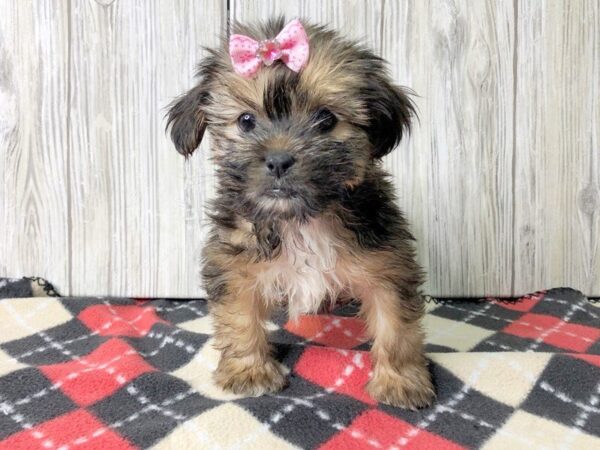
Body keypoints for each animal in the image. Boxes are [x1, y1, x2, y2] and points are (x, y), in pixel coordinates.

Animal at [166, 16, 434, 408]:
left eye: (326, 119)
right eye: (246, 121)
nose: (279, 160)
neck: (301, 219)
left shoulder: (387, 264)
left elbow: (395, 325)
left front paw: (399, 380)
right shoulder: (234, 262)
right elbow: (240, 317)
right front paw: (249, 371)